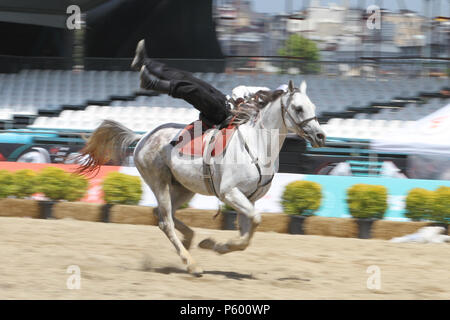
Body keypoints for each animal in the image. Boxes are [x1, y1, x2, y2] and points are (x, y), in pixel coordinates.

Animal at [77, 80, 324, 276]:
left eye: (313, 107)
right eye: (299, 108)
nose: (320, 135)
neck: (257, 144)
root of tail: (143, 137)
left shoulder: (249, 199)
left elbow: (247, 232)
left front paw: (214, 244)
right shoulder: (230, 193)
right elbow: (254, 222)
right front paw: (216, 245)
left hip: (183, 188)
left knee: (162, 214)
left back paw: (189, 242)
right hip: (159, 182)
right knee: (165, 221)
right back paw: (191, 263)